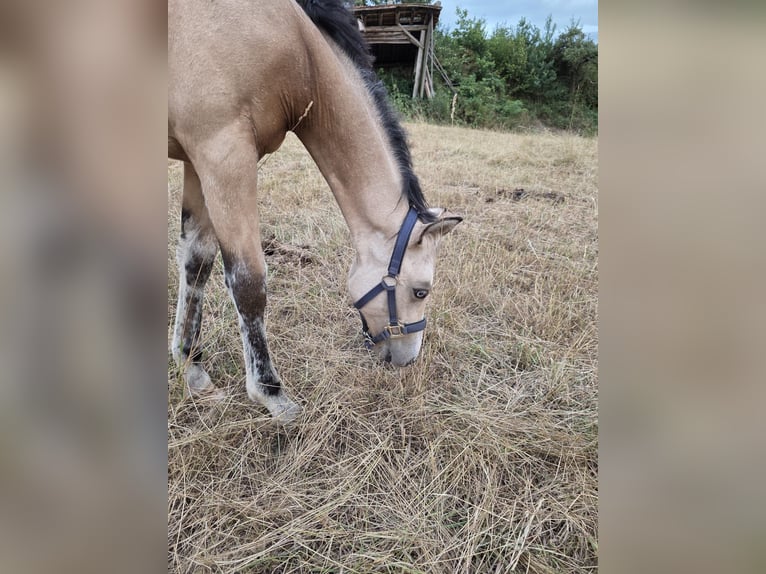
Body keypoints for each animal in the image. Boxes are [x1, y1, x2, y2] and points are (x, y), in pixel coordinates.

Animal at [168, 0, 462, 423]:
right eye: (421, 291)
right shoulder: (224, 153)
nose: (408, 360)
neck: (297, 50)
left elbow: (196, 263)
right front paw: (271, 393)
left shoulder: (199, 161)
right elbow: (248, 281)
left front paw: (192, 368)